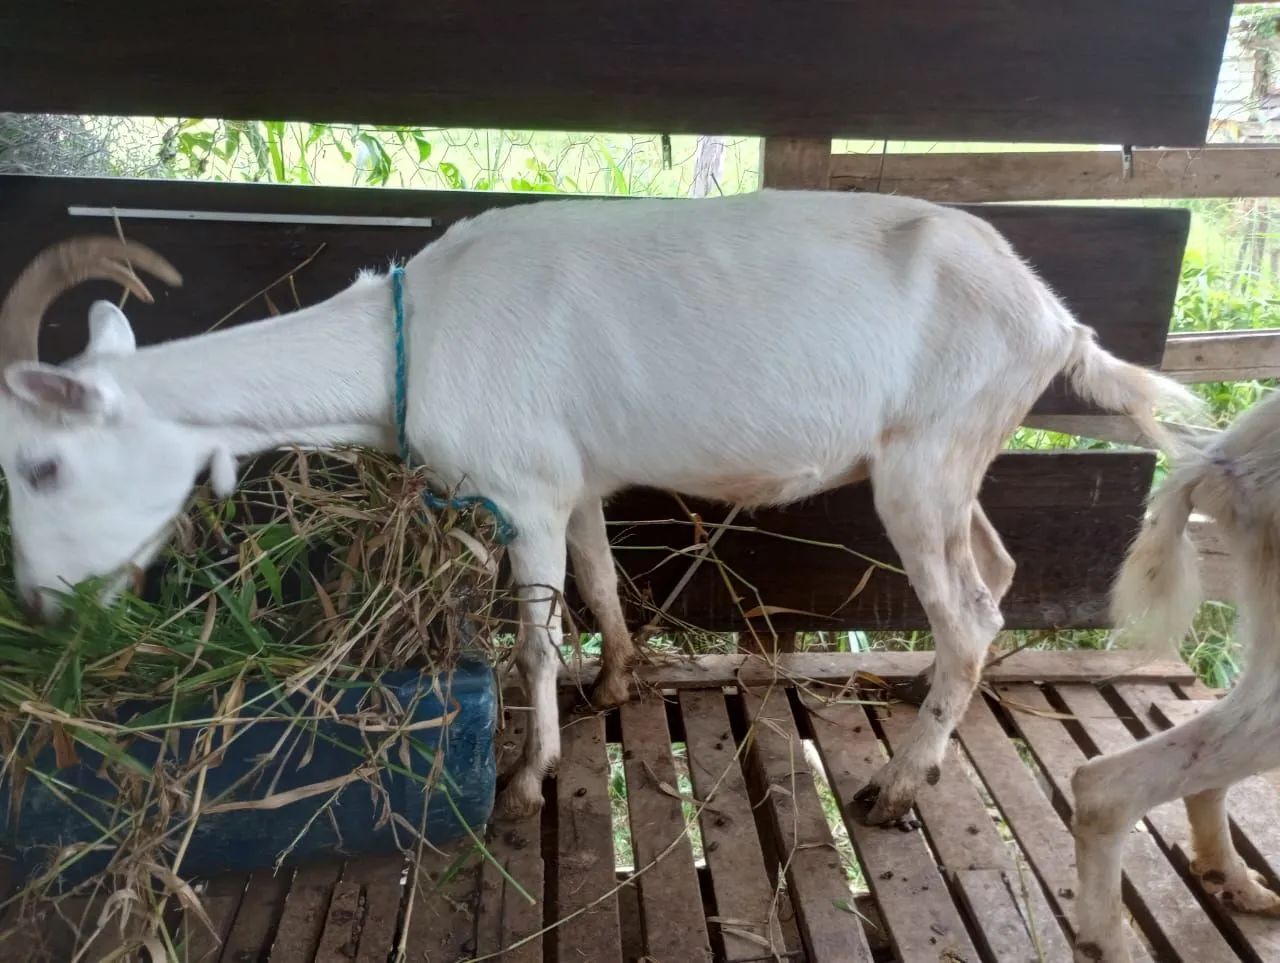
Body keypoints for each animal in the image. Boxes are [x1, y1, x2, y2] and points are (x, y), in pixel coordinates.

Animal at [0, 189, 1196, 821]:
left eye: (39, 467)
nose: (42, 609)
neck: (412, 338)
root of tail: (1053, 319)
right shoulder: (573, 484)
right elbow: (598, 577)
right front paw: (620, 679)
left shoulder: (522, 491)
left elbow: (531, 635)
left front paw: (529, 773)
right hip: (954, 460)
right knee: (994, 573)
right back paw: (927, 733)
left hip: (927, 458)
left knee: (972, 615)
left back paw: (900, 785)